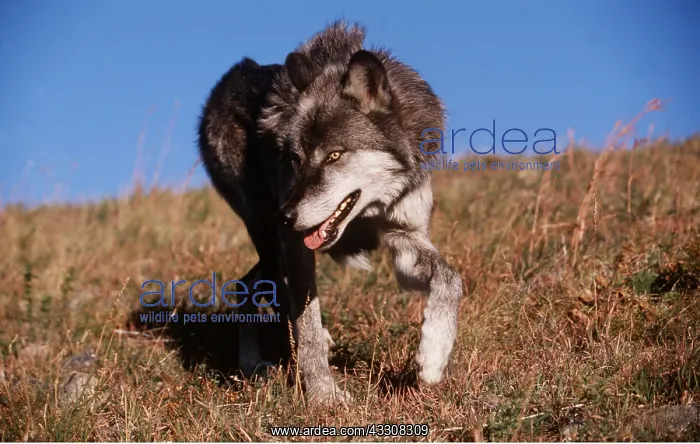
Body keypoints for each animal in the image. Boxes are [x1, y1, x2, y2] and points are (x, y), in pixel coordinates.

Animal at [197, 21, 463, 405]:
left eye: (334, 155)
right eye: (295, 159)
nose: (286, 216)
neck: (366, 212)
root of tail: (239, 70)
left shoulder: (404, 236)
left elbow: (451, 278)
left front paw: (433, 357)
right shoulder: (296, 246)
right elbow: (305, 323)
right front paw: (324, 396)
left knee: (244, 285)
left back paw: (252, 362)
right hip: (268, 238)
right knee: (275, 298)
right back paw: (265, 362)